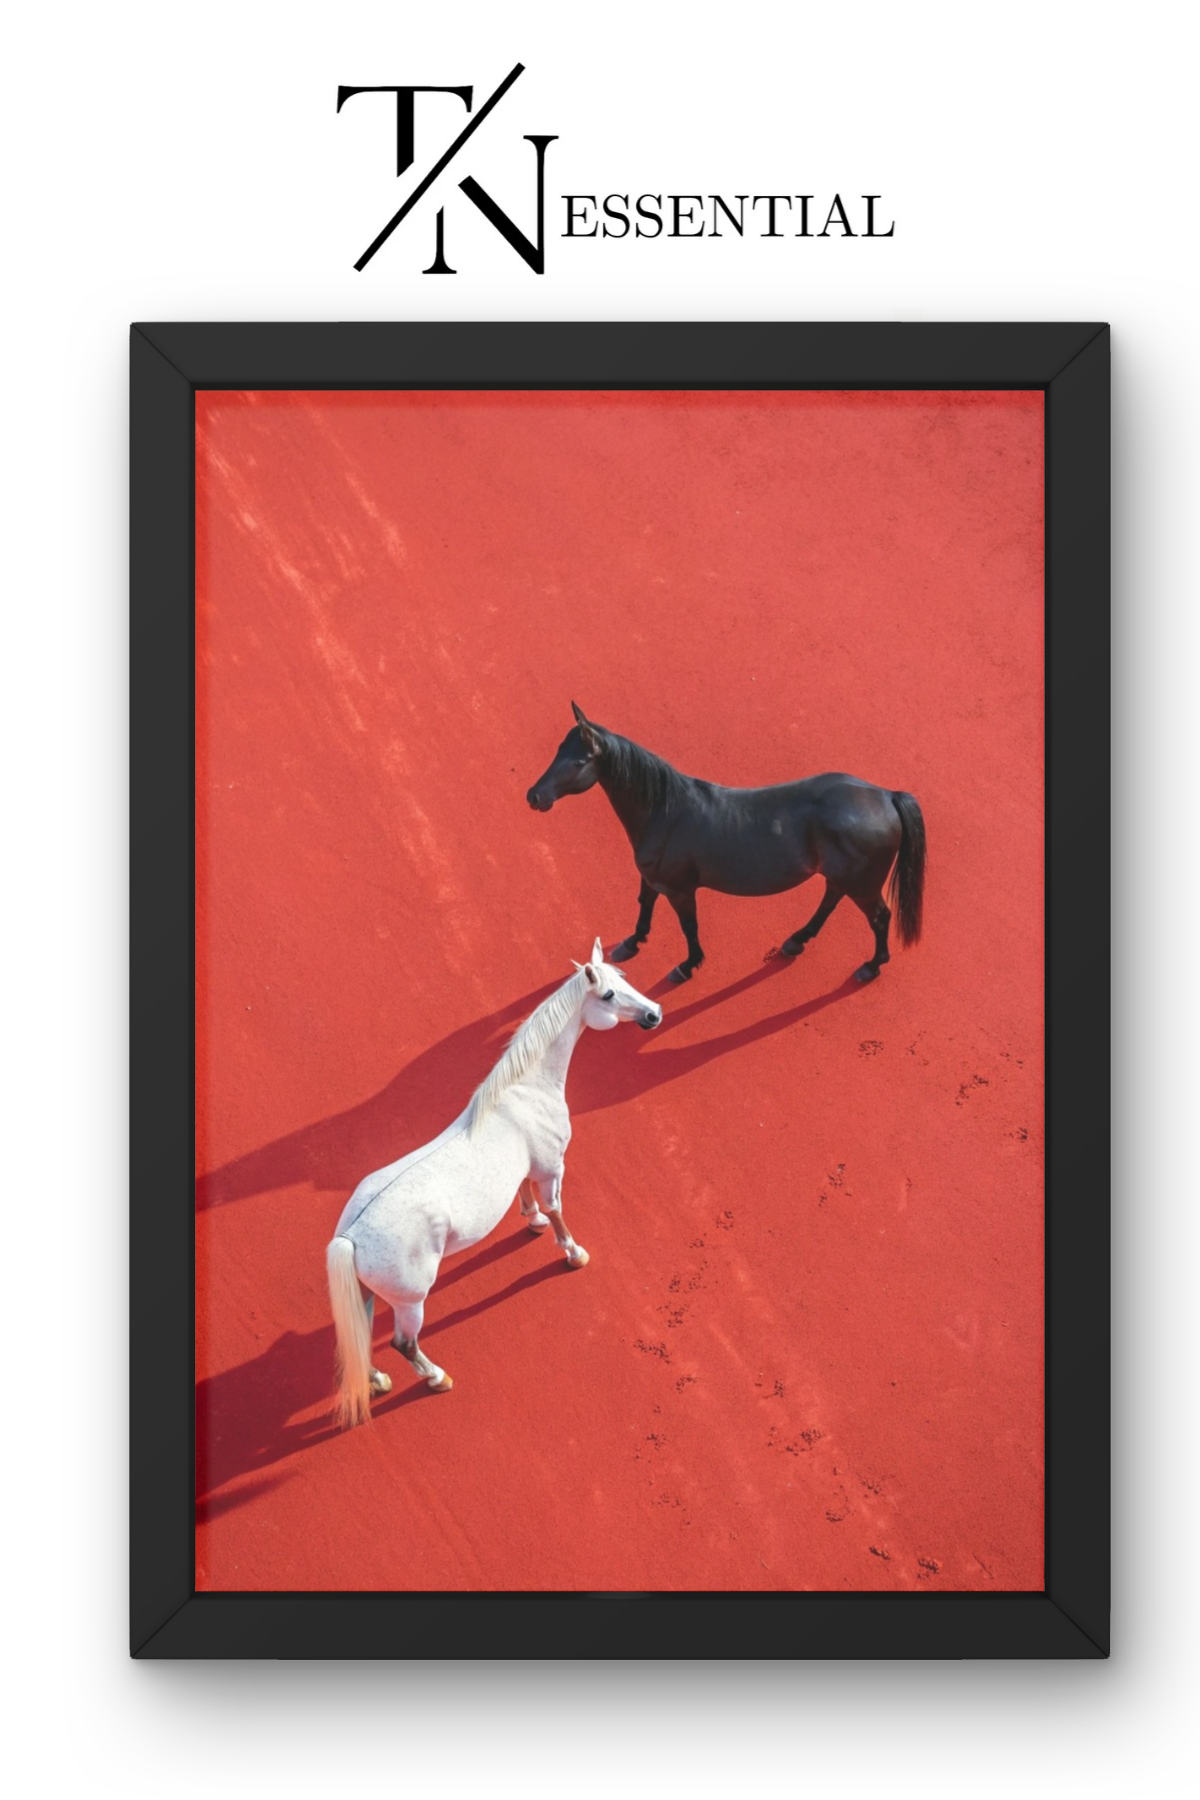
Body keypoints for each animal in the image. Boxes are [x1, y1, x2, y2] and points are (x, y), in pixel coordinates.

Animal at [326, 941, 662, 1427]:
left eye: (625, 978)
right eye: (608, 996)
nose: (654, 1013)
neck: (524, 1091)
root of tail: (349, 1235)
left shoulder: (528, 1168)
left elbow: (528, 1196)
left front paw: (532, 1220)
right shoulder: (552, 1167)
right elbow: (558, 1209)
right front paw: (573, 1252)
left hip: (367, 1296)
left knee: (361, 1332)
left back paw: (377, 1380)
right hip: (411, 1302)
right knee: (404, 1343)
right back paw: (437, 1378)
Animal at [528, 704, 927, 987]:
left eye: (579, 761)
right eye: (558, 749)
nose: (534, 796)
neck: (663, 812)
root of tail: (886, 795)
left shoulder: (680, 890)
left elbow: (689, 926)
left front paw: (688, 966)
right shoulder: (652, 878)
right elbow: (644, 904)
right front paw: (633, 942)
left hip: (864, 885)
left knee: (879, 918)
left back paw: (871, 967)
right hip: (843, 877)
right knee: (831, 900)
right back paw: (796, 941)